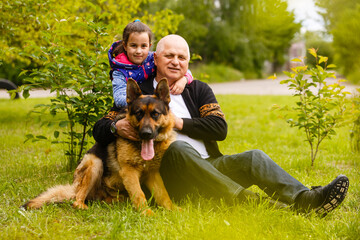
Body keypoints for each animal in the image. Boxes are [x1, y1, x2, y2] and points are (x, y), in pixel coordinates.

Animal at [22, 79, 177, 216]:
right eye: (139, 113)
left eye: (155, 114)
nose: (146, 133)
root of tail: (74, 189)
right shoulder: (129, 172)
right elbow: (139, 194)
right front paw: (147, 213)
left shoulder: (153, 174)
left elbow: (163, 194)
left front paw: (173, 210)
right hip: (95, 163)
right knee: (77, 200)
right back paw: (83, 207)